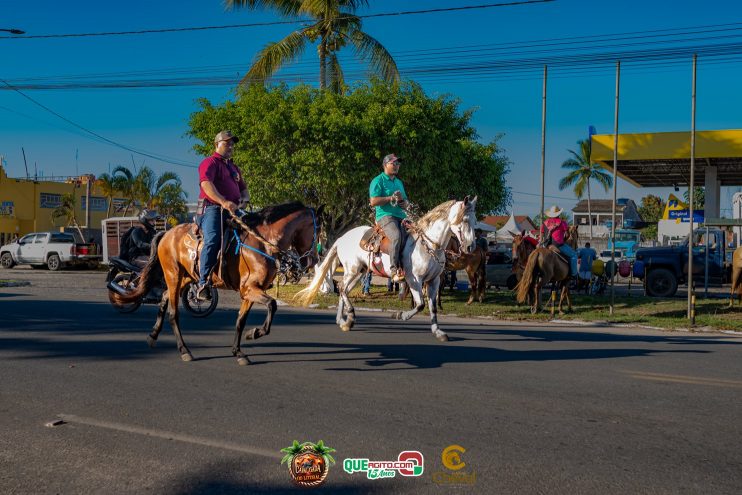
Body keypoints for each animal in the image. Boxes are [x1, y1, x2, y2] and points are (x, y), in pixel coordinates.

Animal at [109, 203, 320, 366]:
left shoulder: (249, 292)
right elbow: (272, 304)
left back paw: (153, 335)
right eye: (315, 231)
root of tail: (166, 233)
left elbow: (240, 320)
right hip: (173, 275)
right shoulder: (250, 289)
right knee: (173, 314)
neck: (262, 243)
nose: (313, 261)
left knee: (164, 298)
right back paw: (184, 350)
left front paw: (238, 352)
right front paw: (255, 333)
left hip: (186, 277)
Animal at [296, 198, 476, 340]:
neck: (428, 245)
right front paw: (400, 315)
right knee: (341, 288)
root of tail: (342, 237)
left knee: (343, 290)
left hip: (359, 273)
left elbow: (432, 307)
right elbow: (420, 305)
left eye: (475, 222)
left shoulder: (434, 281)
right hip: (352, 269)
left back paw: (343, 321)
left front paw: (438, 332)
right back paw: (350, 318)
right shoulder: (414, 280)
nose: (470, 247)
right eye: (465, 220)